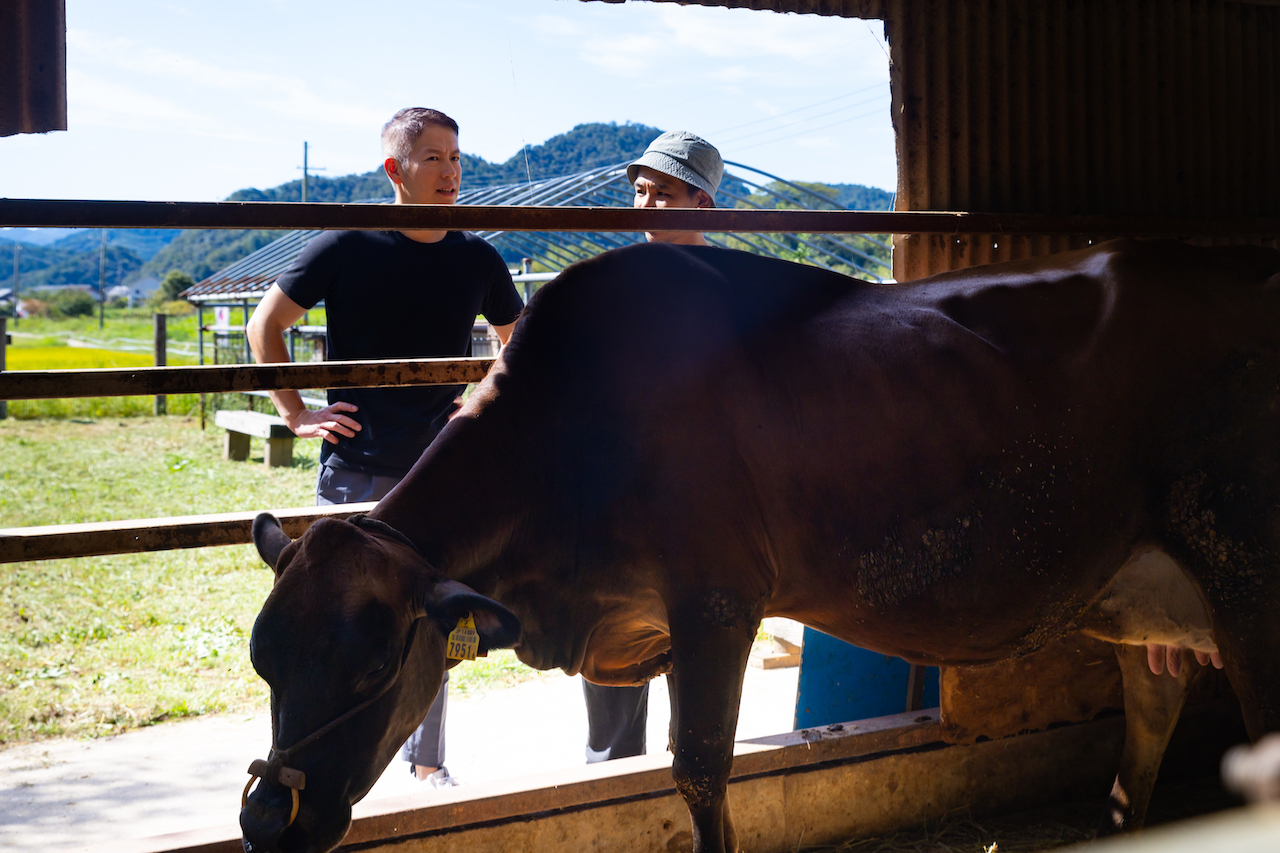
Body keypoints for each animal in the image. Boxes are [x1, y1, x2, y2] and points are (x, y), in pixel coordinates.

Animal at [240, 239, 1280, 850]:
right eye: (265, 662)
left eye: (376, 667)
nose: (264, 817)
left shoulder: (716, 599)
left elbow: (699, 769)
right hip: (1149, 588)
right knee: (1154, 700)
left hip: (1243, 568)